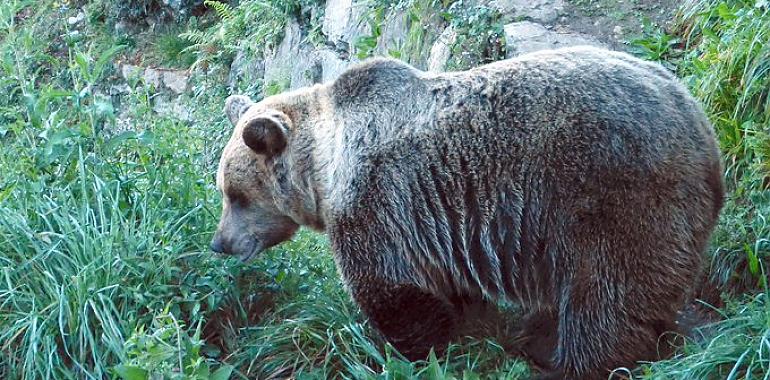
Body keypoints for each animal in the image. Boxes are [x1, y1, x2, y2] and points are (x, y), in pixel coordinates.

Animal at [208, 46, 720, 378]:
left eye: (235, 194)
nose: (220, 243)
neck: (324, 166)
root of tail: (700, 125)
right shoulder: (438, 223)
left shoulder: (378, 201)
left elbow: (394, 289)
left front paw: (412, 352)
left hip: (615, 196)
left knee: (607, 298)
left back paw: (569, 362)